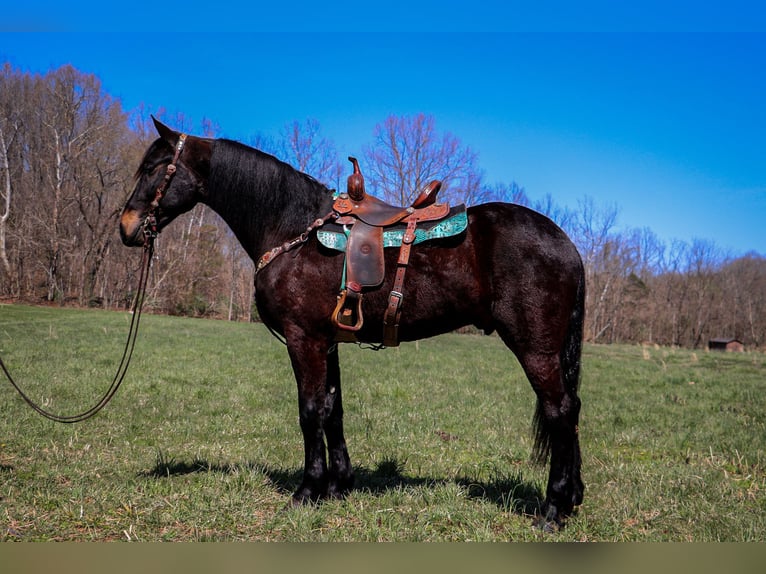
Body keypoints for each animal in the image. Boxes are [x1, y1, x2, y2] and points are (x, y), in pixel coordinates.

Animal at [121, 120, 588, 532]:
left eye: (154, 168)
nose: (126, 227)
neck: (293, 228)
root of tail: (564, 242)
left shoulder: (303, 340)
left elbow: (310, 411)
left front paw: (307, 491)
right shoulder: (328, 343)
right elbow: (333, 410)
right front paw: (339, 485)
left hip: (536, 348)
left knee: (559, 411)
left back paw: (553, 509)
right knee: (571, 409)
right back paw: (572, 497)